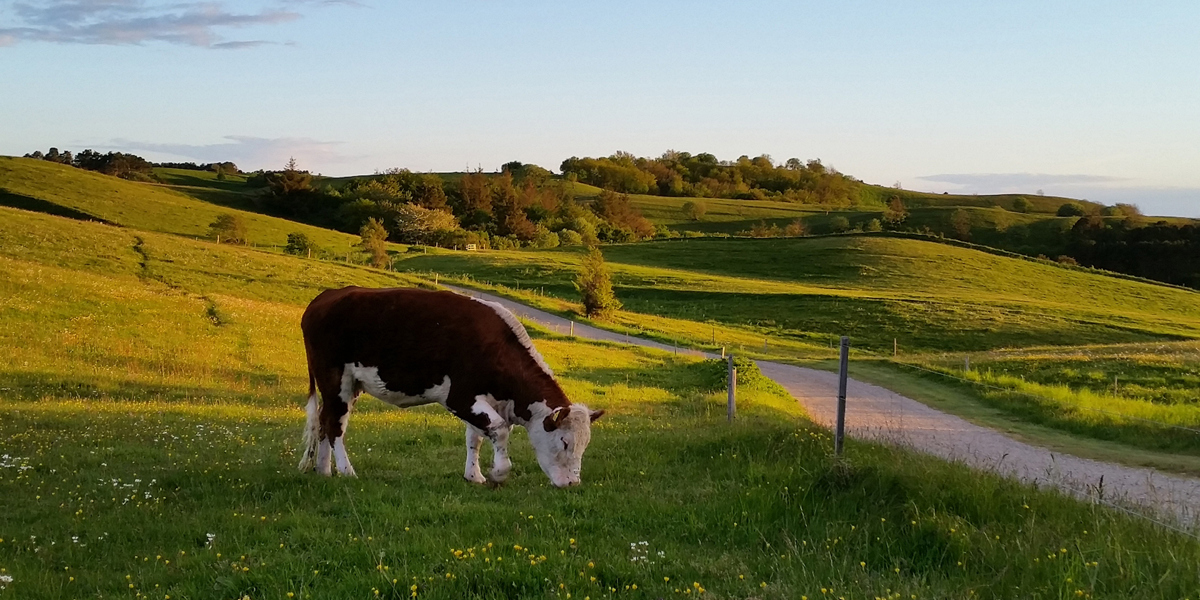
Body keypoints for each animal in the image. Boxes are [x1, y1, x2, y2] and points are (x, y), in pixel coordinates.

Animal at [296, 286, 603, 487]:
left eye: (585, 444)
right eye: (565, 442)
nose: (573, 483)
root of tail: (326, 296)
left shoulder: (483, 401)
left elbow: (476, 437)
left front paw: (474, 476)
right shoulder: (460, 396)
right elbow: (498, 430)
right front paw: (499, 473)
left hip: (348, 384)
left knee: (325, 420)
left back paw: (324, 470)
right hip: (335, 379)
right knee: (335, 425)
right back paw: (346, 471)